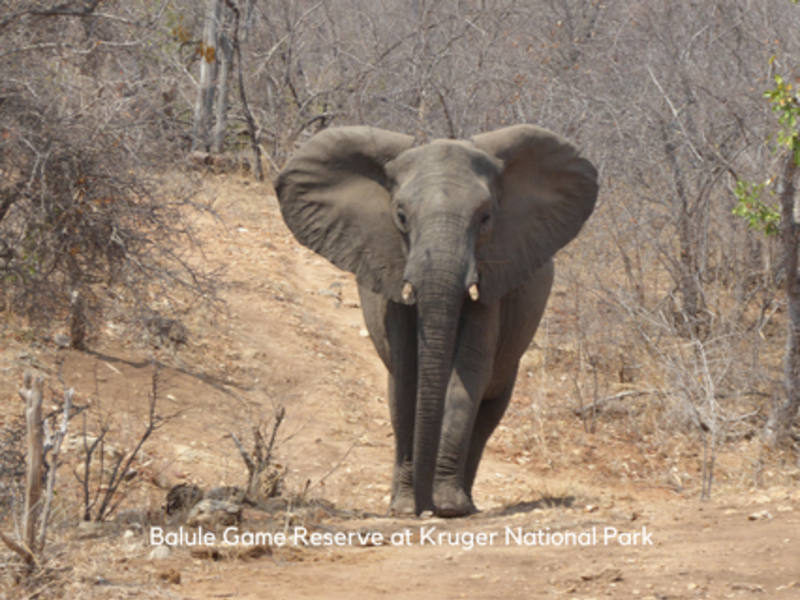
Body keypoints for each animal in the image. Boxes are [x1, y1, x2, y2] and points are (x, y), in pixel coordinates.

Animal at [275, 124, 598, 517]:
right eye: (400, 216)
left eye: (485, 219)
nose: (423, 507)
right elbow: (407, 376)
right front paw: (404, 507)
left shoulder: (493, 278)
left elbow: (467, 374)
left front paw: (447, 506)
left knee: (490, 408)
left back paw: (465, 503)